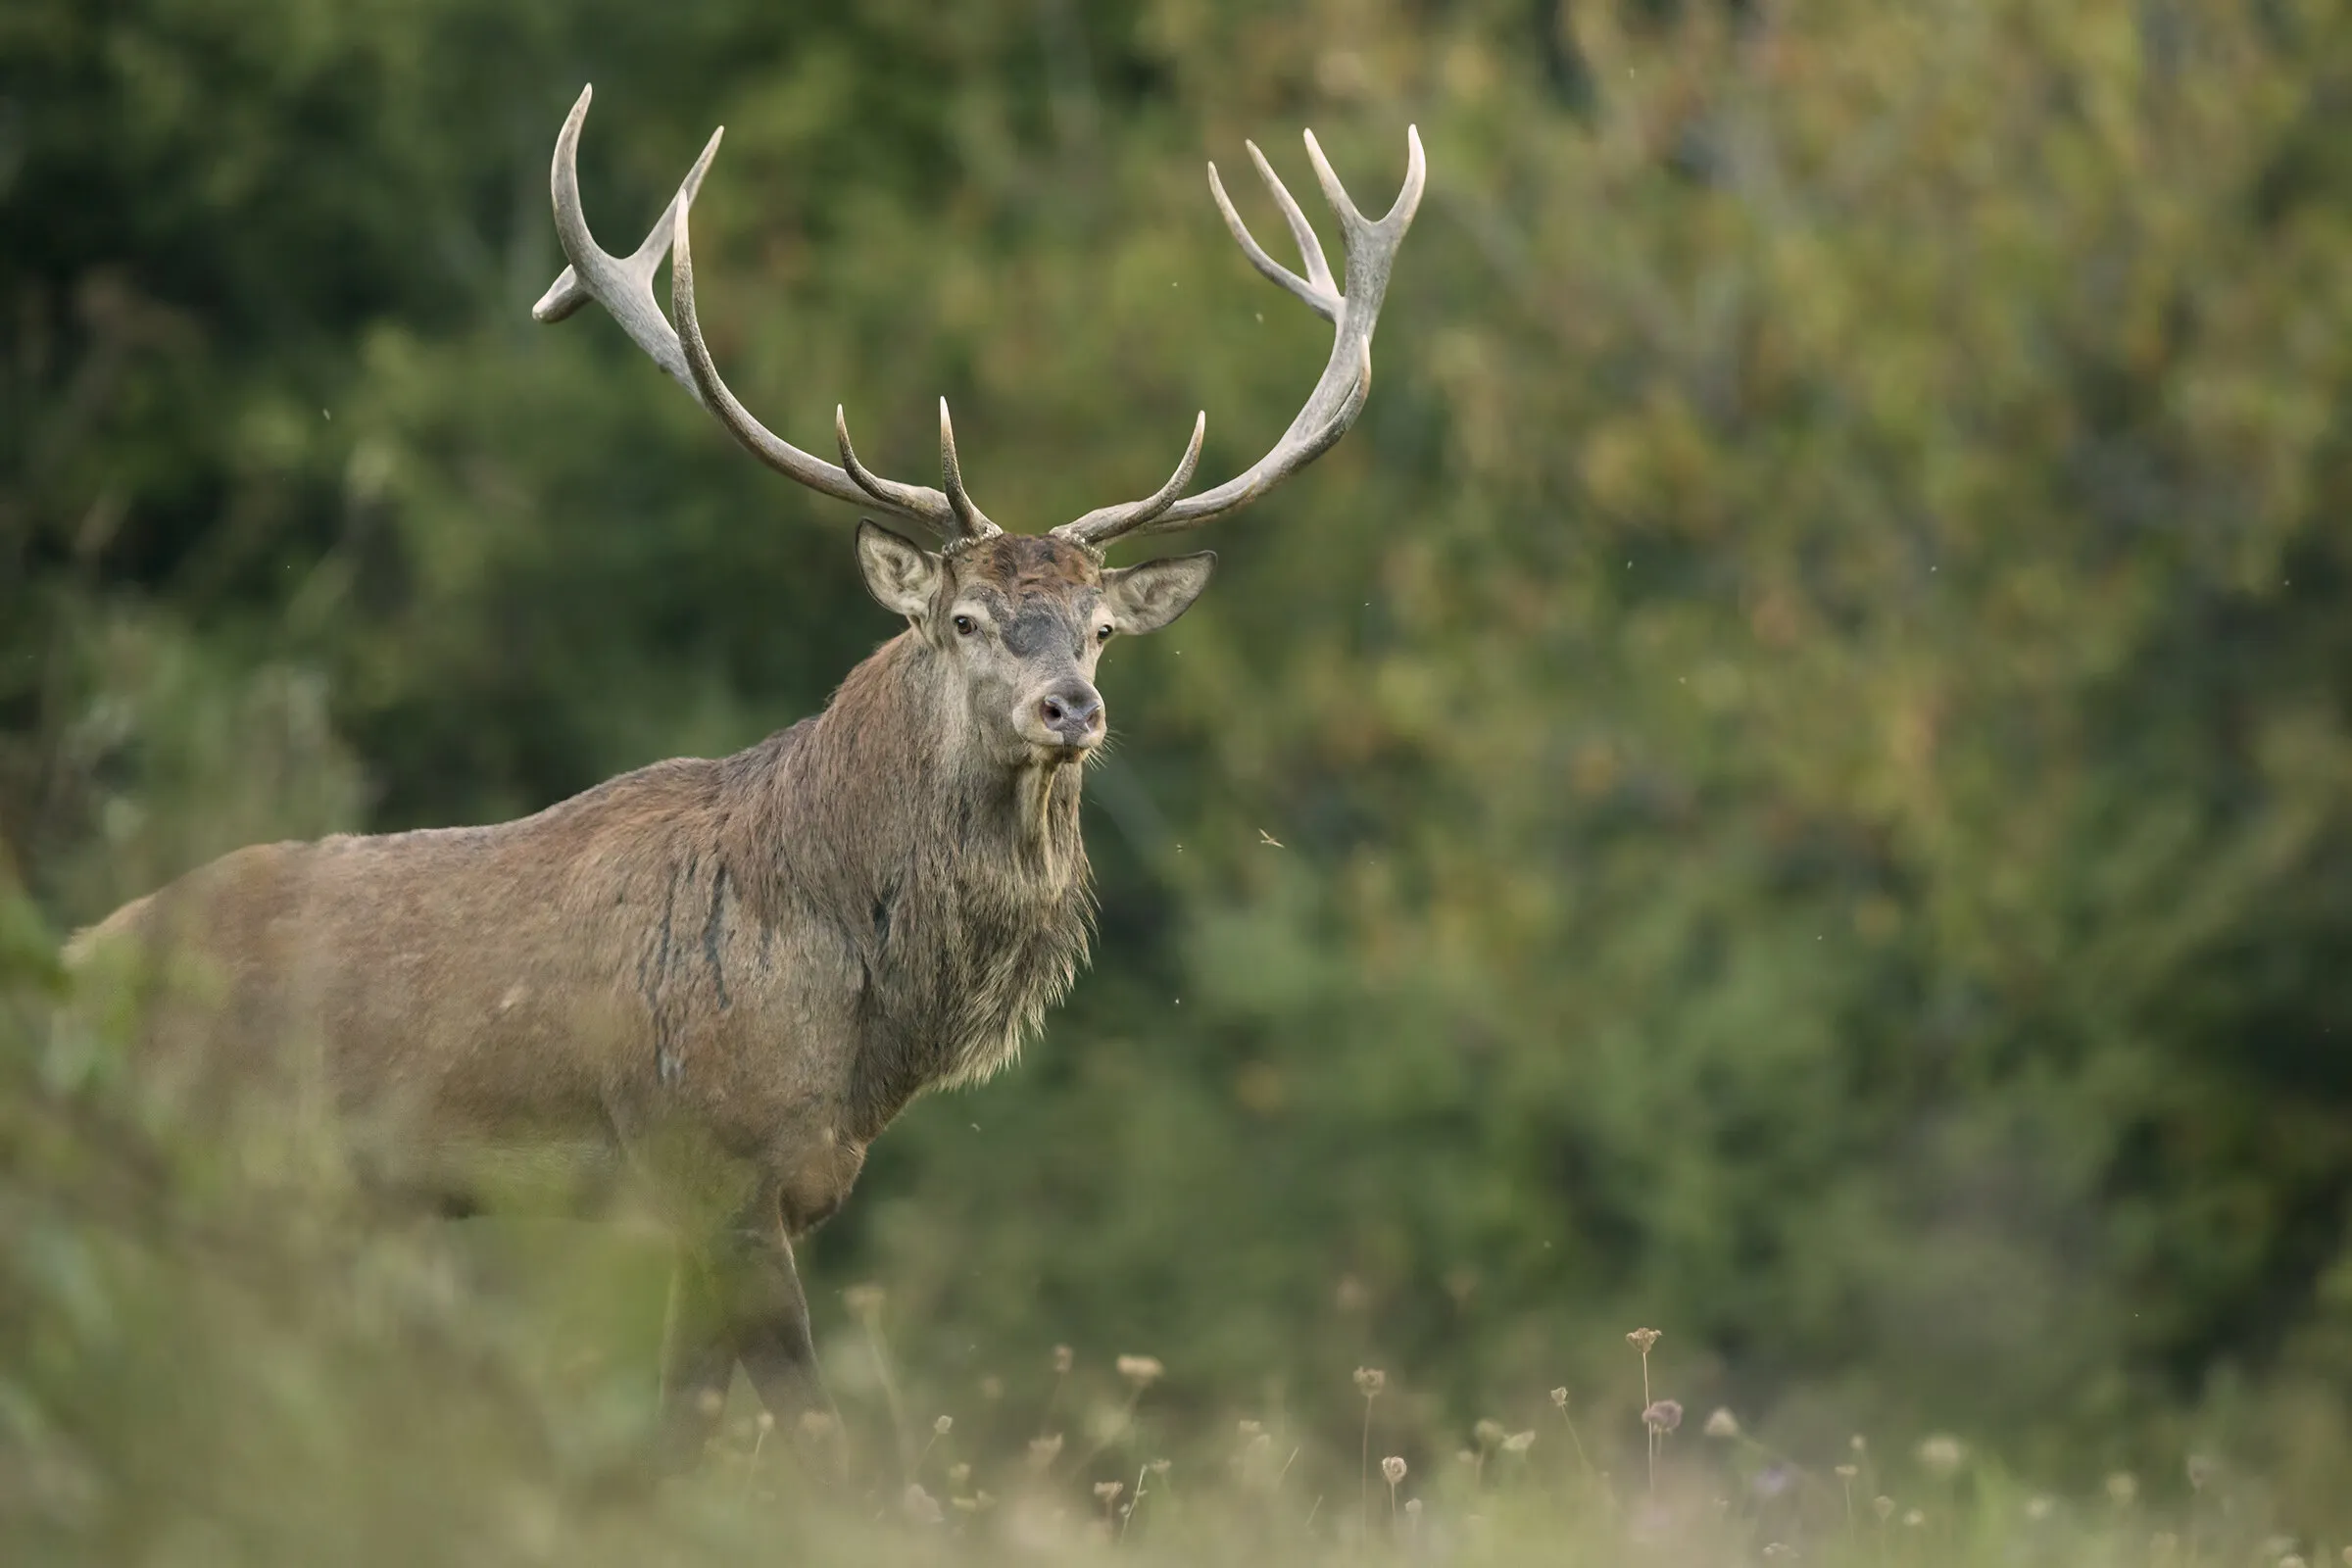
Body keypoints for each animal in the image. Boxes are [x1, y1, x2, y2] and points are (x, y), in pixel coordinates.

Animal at [68, 85, 1423, 1461]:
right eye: (966, 619)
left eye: (1100, 628)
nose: (1073, 708)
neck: (859, 1020)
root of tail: (73, 969)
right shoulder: (710, 1159)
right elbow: (825, 1440)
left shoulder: (754, 1194)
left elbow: (680, 1424)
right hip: (197, 1163)